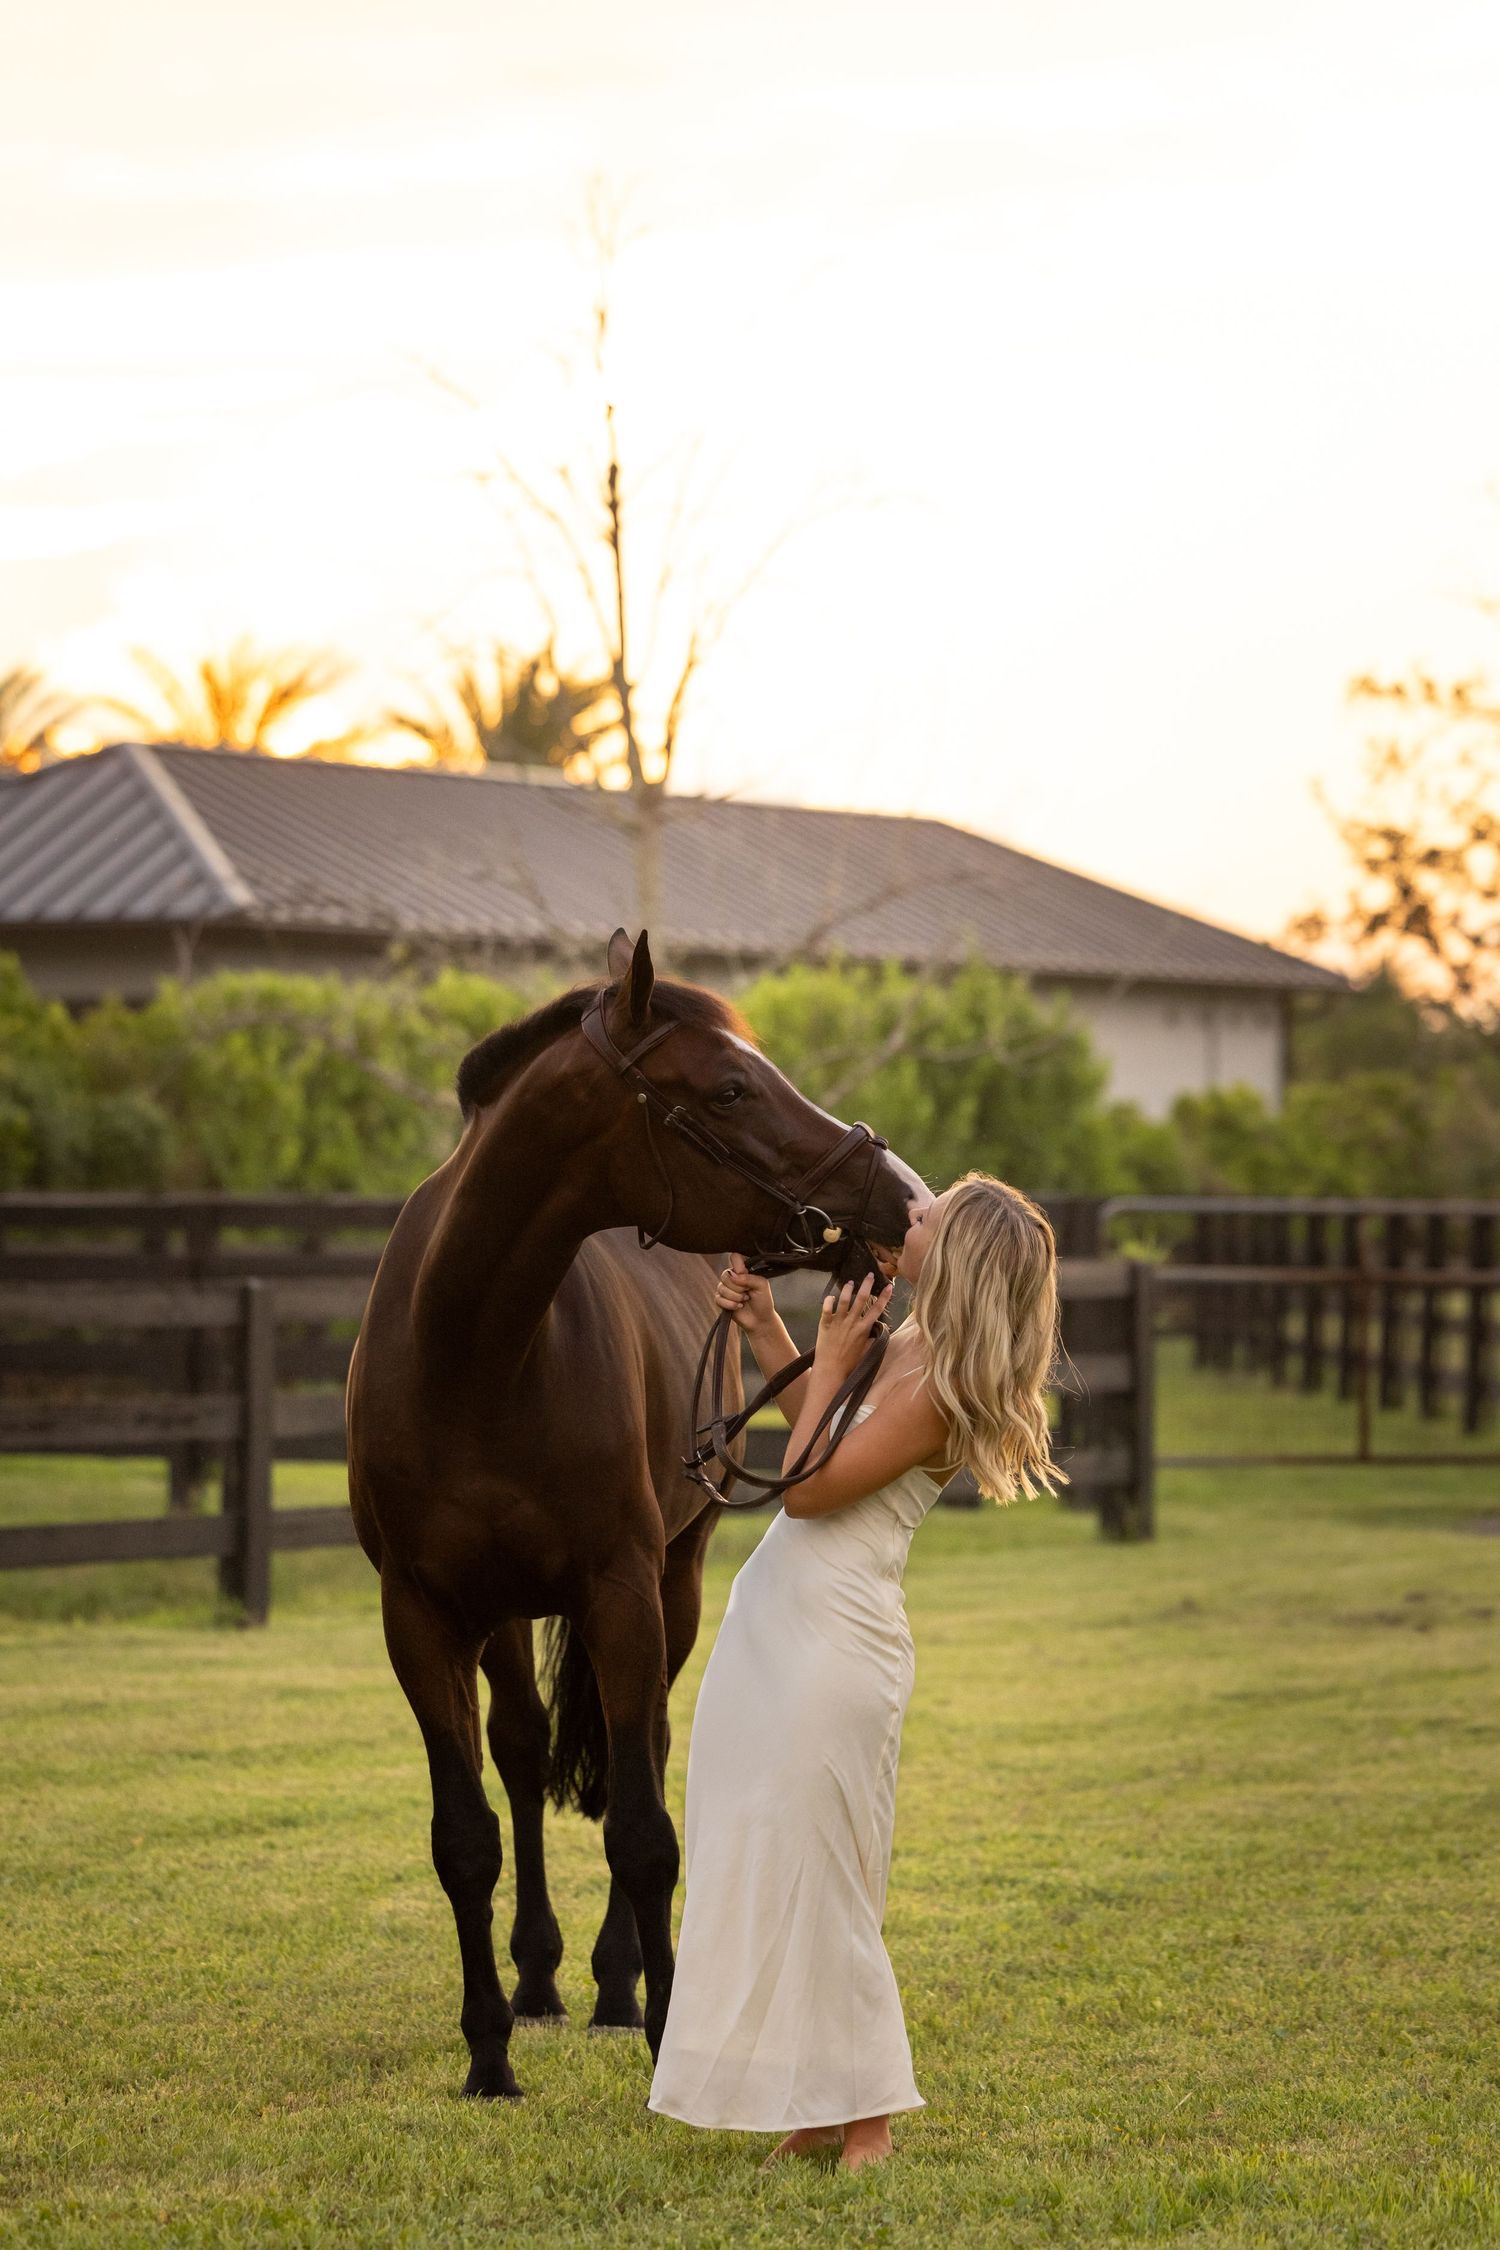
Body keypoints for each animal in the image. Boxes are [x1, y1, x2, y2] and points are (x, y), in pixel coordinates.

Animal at [346, 928, 921, 2099]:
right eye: (733, 1086)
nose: (896, 1192)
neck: (469, 1356)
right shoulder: (419, 1615)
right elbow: (464, 1835)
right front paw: (488, 2054)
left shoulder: (621, 1592)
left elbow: (644, 1828)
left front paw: (662, 2032)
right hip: (503, 1612)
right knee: (525, 1753)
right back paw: (538, 1981)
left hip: (674, 1581)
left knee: (636, 1744)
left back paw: (616, 1989)